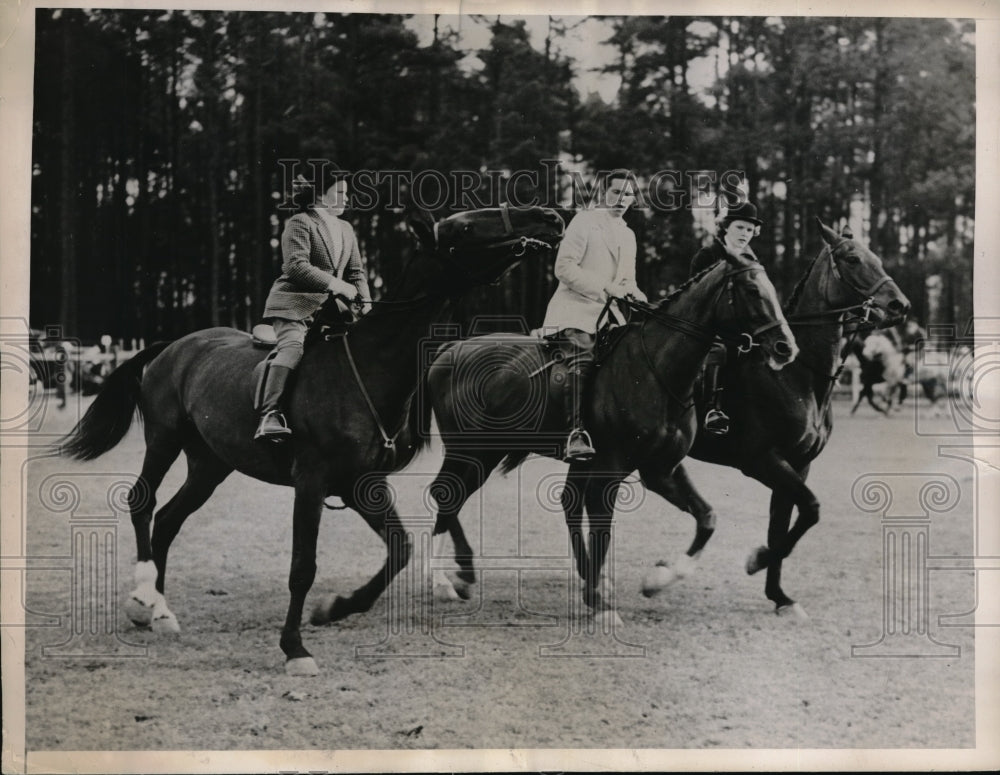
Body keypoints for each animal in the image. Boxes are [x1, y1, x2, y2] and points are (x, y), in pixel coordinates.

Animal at [58, 203, 568, 676]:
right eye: (465, 226)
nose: (549, 217)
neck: (368, 368)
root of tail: (174, 345)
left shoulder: (363, 485)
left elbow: (400, 549)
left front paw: (335, 609)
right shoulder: (312, 481)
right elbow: (303, 565)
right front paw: (295, 648)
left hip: (211, 464)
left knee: (167, 520)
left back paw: (160, 612)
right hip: (164, 440)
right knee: (142, 503)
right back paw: (143, 595)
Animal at [422, 249, 796, 624]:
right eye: (752, 290)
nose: (786, 347)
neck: (656, 370)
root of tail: (451, 348)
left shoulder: (661, 469)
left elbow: (707, 517)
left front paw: (657, 579)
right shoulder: (612, 466)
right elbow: (602, 525)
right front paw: (600, 601)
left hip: (490, 452)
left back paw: (464, 574)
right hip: (471, 450)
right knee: (447, 494)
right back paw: (444, 580)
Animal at [636, 220, 912, 620]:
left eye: (875, 256)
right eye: (852, 258)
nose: (899, 305)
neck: (798, 373)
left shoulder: (798, 465)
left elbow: (783, 526)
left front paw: (780, 596)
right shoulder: (762, 460)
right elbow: (810, 511)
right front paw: (757, 560)